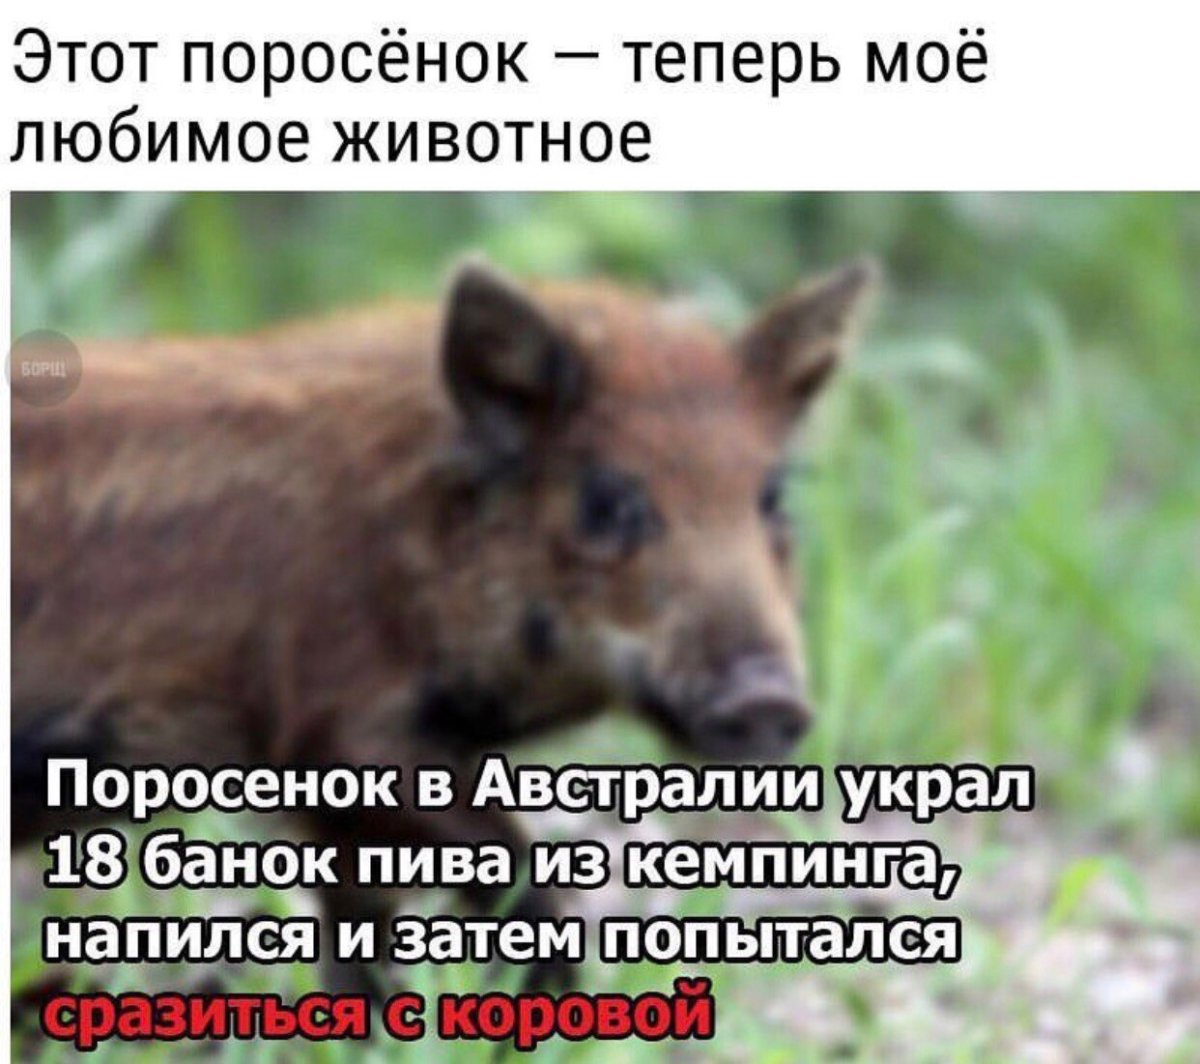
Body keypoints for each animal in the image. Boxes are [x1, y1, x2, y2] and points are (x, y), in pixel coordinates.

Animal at [12, 257, 874, 990]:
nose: (769, 701)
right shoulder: (337, 730)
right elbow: (521, 881)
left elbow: (363, 943)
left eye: (770, 498)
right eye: (605, 502)